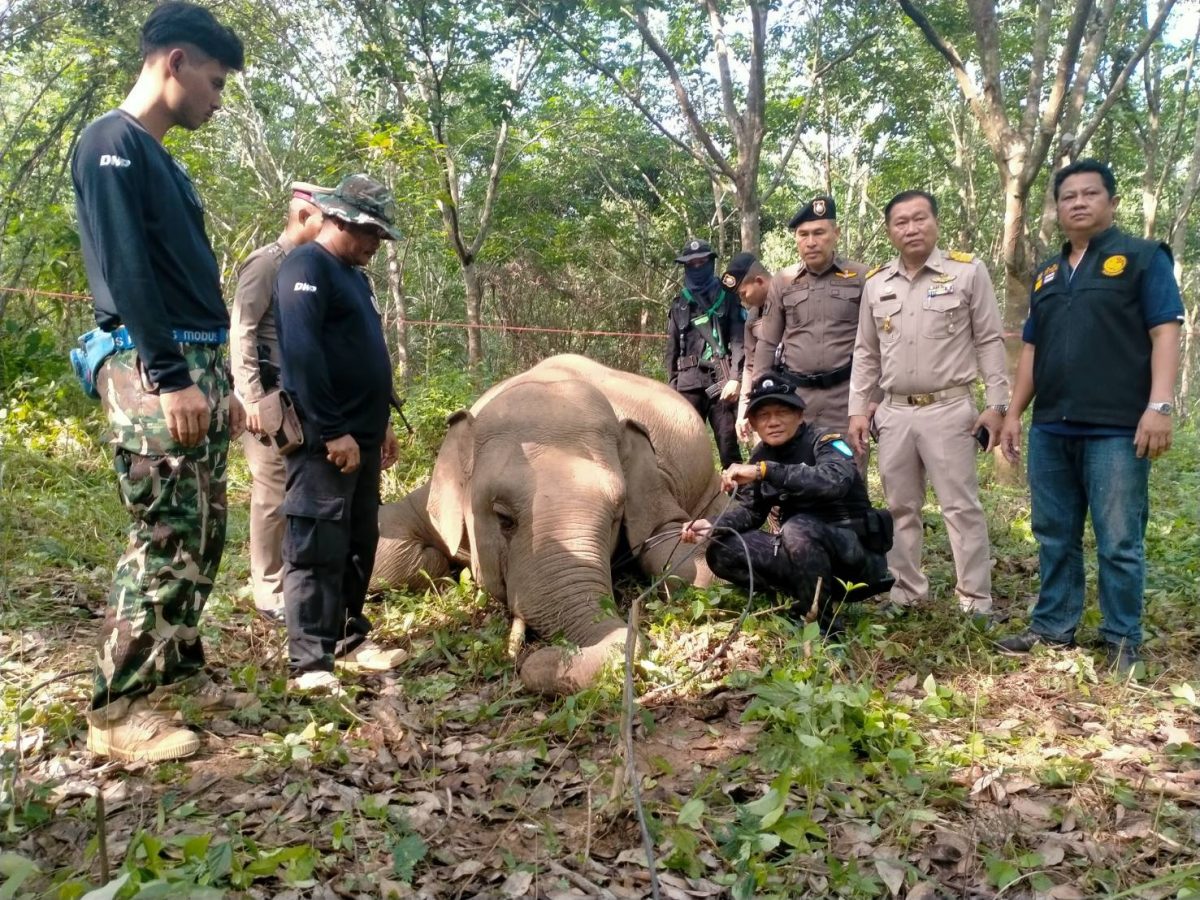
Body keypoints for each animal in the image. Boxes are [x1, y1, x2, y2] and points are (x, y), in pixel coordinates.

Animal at [369, 355, 724, 696]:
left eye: (616, 515)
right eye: (503, 517)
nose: (545, 660)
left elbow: (673, 543)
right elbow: (384, 530)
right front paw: (443, 567)